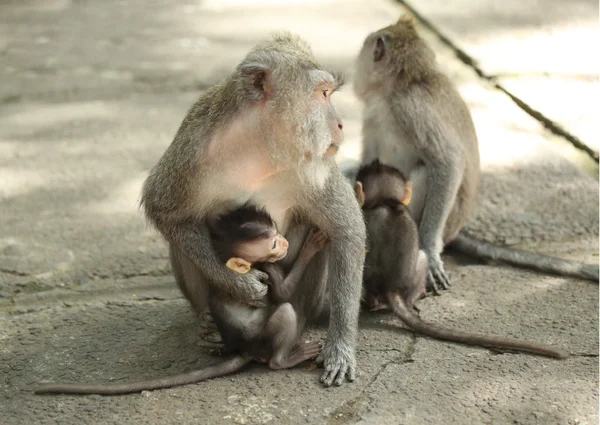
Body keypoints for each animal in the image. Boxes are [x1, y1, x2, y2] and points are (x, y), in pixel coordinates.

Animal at [35, 205, 328, 394]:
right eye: (273, 245)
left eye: (277, 231)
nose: (285, 242)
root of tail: (245, 349)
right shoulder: (265, 268)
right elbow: (283, 293)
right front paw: (311, 246)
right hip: (264, 339)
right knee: (285, 313)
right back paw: (286, 358)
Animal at [354, 14, 596, 290]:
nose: (357, 66)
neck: (405, 83)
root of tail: (457, 230)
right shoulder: (373, 116)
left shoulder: (410, 108)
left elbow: (448, 163)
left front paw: (429, 250)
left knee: (422, 173)